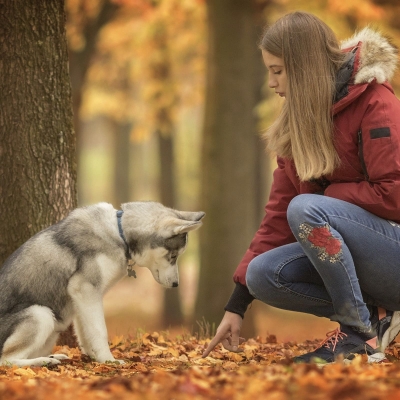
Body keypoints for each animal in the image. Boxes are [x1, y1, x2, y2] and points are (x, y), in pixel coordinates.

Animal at [0, 202, 205, 368]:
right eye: (173, 256)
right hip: (40, 313)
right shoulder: (86, 289)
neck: (120, 233)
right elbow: (99, 332)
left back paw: (53, 356)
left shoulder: (82, 299)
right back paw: (42, 361)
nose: (176, 284)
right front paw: (108, 360)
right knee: (6, 360)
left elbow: (86, 333)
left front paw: (94, 357)